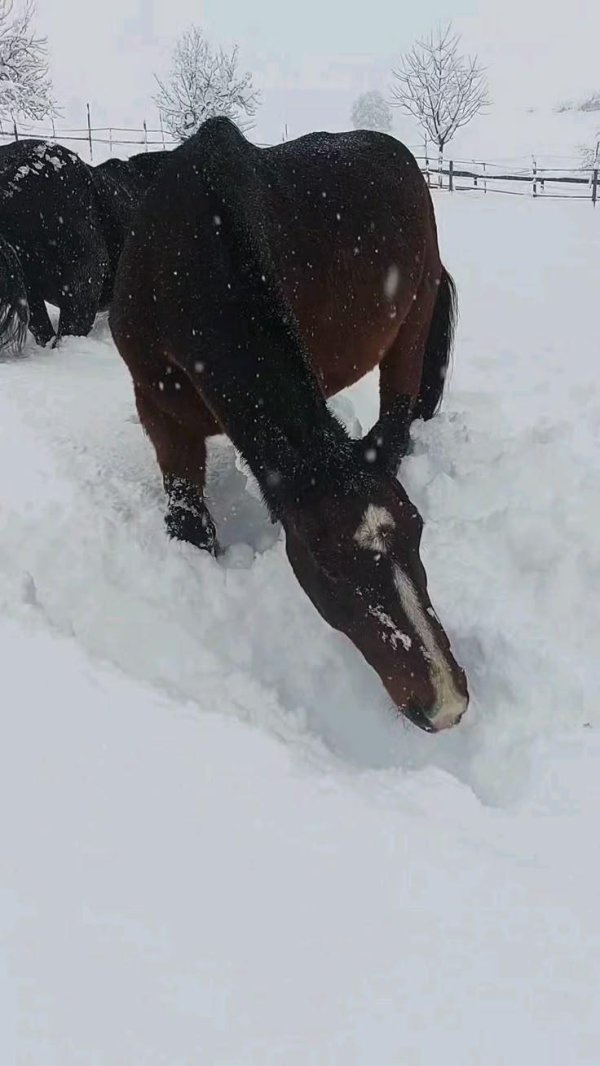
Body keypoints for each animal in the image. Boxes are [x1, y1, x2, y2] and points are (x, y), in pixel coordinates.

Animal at [109, 116, 469, 734]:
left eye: (419, 530)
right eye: (327, 564)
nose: (445, 704)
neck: (186, 255)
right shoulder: (159, 413)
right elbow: (190, 519)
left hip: (411, 324)